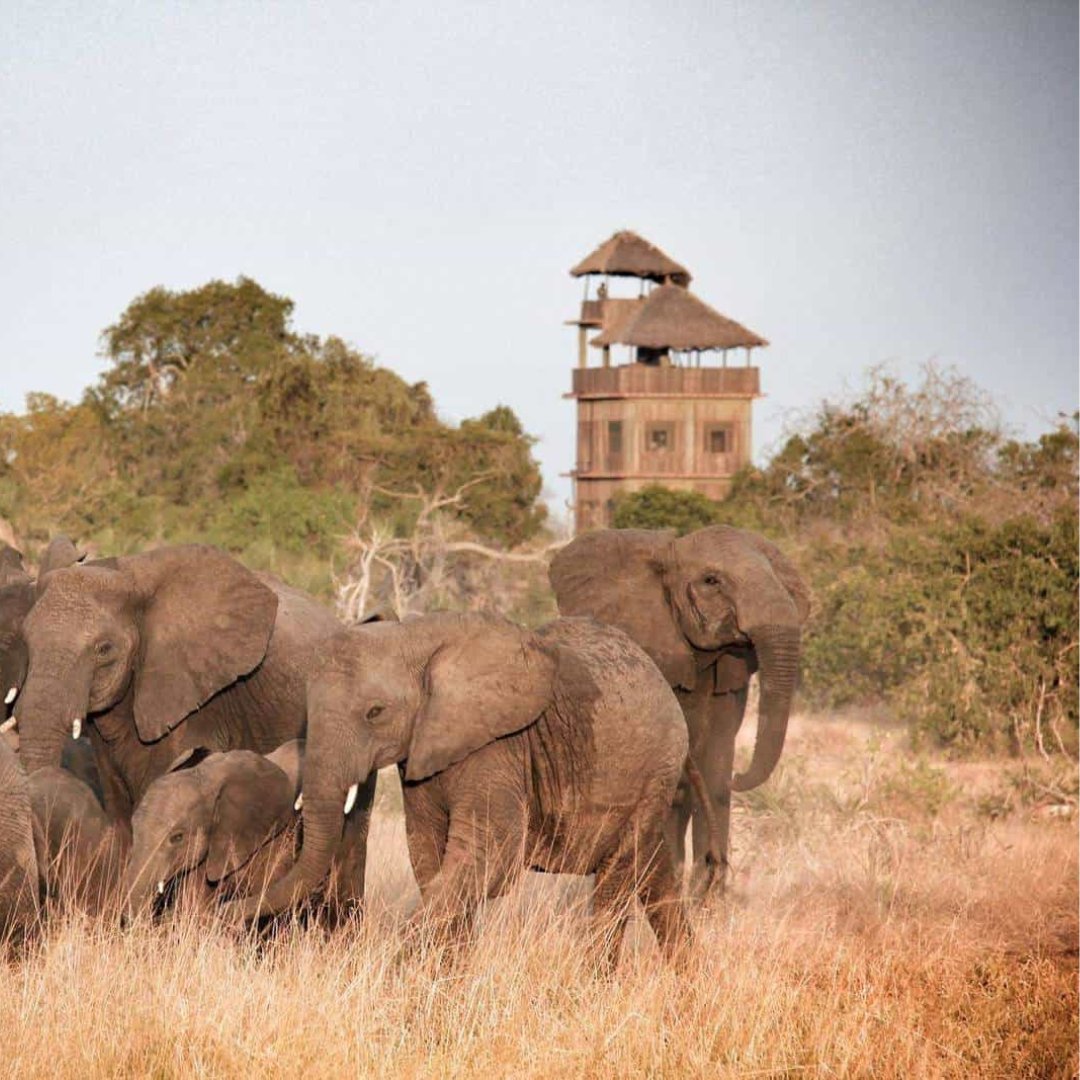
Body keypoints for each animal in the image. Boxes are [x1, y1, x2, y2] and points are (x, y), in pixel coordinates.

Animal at [239, 613, 694, 967]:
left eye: (375, 713)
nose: (232, 909)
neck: (414, 637)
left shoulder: (497, 745)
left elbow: (489, 854)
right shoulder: (422, 757)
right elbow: (428, 853)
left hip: (656, 770)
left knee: (617, 879)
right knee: (653, 871)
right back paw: (687, 980)